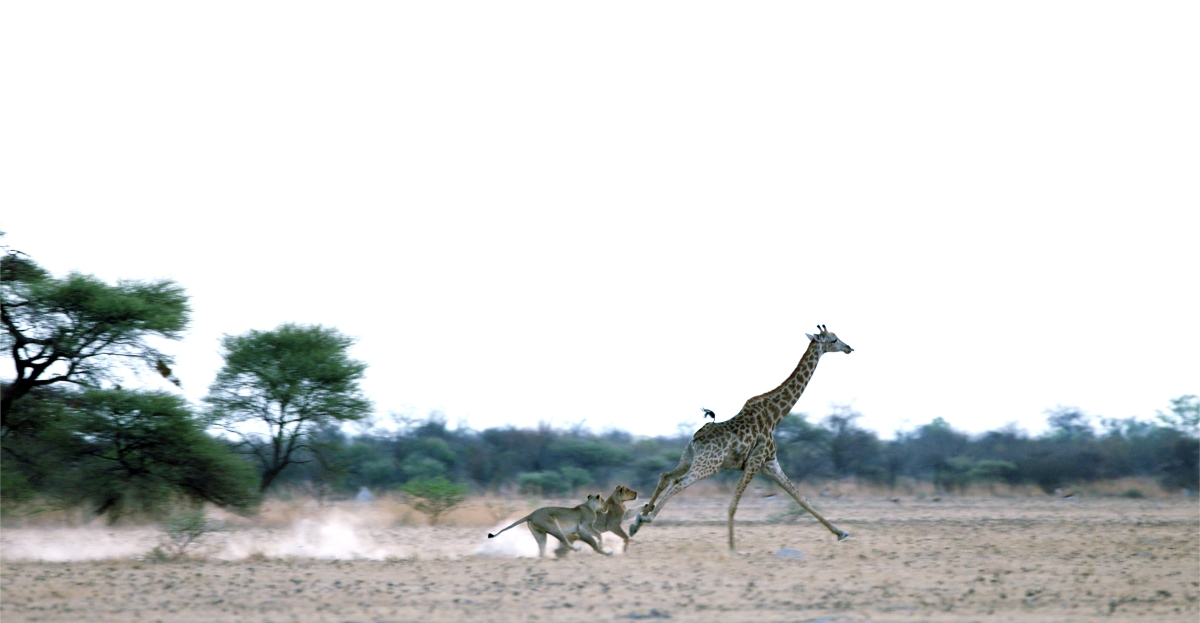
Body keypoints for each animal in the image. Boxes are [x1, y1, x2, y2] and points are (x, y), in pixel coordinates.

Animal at [630, 325, 854, 551]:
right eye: (833, 339)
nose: (849, 348)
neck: (775, 416)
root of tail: (696, 439)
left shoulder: (770, 462)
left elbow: (801, 498)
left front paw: (841, 532)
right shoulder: (755, 462)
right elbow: (733, 505)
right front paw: (733, 547)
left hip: (689, 459)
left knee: (666, 476)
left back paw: (638, 520)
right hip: (709, 465)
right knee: (678, 482)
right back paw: (644, 518)